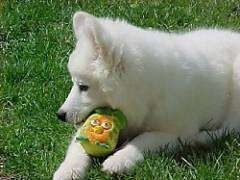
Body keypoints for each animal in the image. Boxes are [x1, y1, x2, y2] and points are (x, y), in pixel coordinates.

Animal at [53, 11, 240, 180]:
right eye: (74, 83)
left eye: (83, 87)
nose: (60, 115)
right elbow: (78, 146)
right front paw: (68, 171)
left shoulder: (177, 131)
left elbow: (143, 139)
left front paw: (119, 160)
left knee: (232, 127)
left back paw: (200, 139)